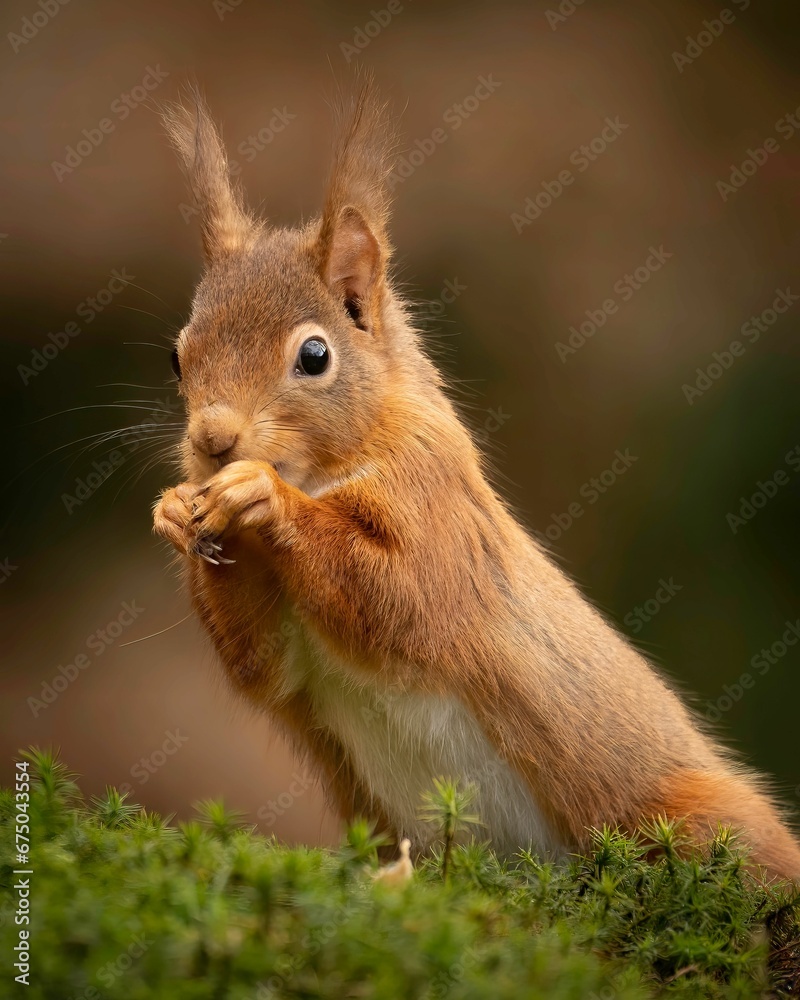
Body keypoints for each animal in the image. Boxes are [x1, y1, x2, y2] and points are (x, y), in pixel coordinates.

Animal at [153, 82, 800, 879]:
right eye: (177, 356)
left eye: (314, 355)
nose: (213, 442)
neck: (326, 472)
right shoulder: (285, 656)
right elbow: (262, 665)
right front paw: (176, 512)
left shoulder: (437, 499)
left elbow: (407, 597)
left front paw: (262, 498)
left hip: (693, 821)